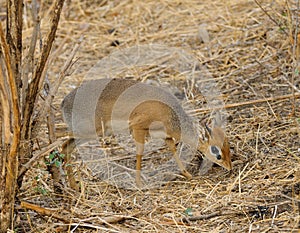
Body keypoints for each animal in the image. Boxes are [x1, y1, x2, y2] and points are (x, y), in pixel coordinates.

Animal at [59, 78, 231, 187]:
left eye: (228, 148)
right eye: (216, 151)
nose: (229, 167)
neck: (171, 114)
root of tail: (64, 102)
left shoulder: (165, 136)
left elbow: (173, 150)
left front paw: (187, 174)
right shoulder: (137, 128)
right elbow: (140, 153)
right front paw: (139, 183)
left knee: (66, 148)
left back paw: (73, 187)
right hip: (90, 132)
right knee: (64, 146)